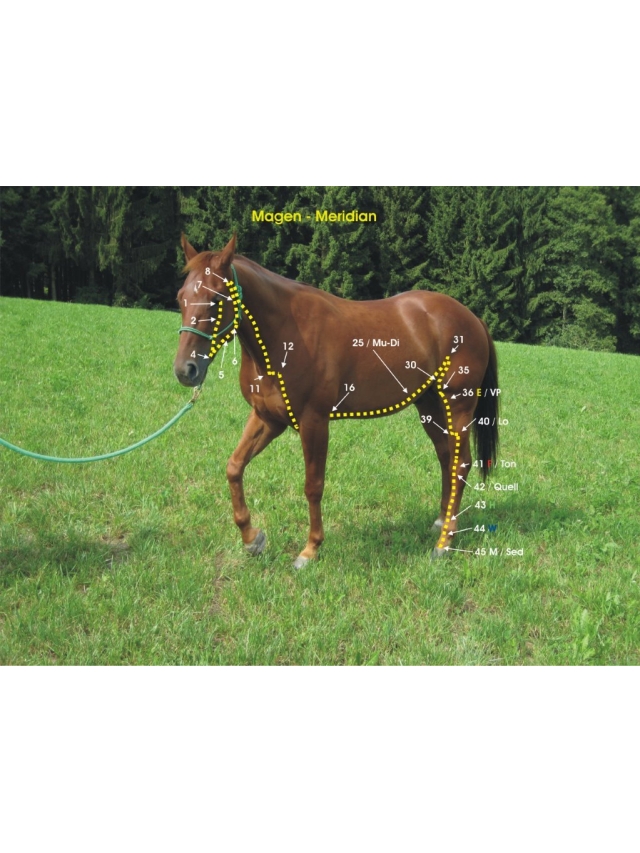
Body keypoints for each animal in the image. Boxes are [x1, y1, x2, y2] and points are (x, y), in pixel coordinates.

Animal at [174, 234, 499, 568]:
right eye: (180, 297)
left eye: (216, 300)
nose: (186, 370)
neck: (283, 334)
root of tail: (472, 318)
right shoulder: (268, 418)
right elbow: (234, 467)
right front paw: (253, 539)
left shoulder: (314, 422)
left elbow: (313, 486)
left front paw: (310, 550)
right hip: (430, 406)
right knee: (447, 458)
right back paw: (442, 522)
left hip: (458, 406)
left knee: (460, 463)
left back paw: (444, 543)